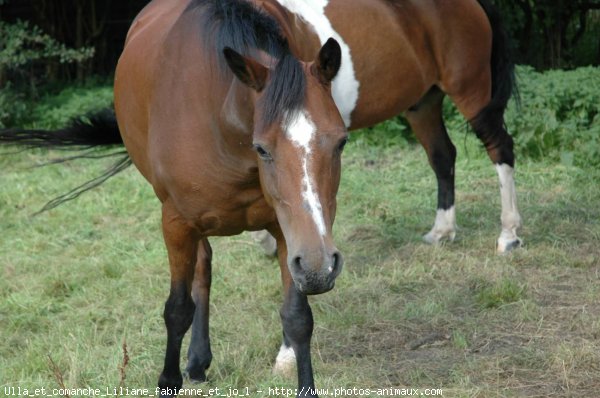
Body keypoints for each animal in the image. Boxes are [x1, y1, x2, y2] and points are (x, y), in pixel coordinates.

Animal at [0, 0, 520, 398]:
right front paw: (174, 375)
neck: (219, 115)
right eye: (263, 148)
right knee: (447, 154)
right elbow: (178, 307)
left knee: (497, 148)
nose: (322, 267)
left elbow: (297, 315)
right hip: (423, 101)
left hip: (465, 91)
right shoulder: (179, 222)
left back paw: (507, 234)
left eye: (340, 143)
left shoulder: (293, 230)